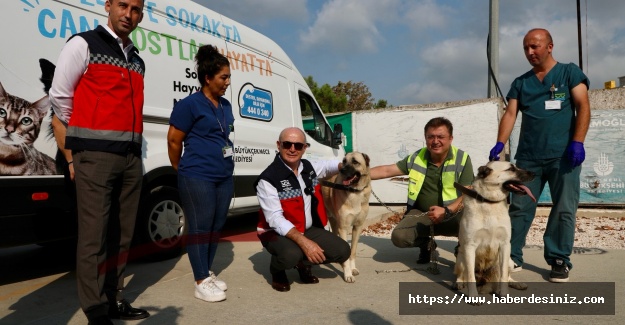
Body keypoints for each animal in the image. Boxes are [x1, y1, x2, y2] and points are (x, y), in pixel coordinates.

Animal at [322, 151, 370, 280]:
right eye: (344, 161)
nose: (342, 170)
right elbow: (347, 254)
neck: (355, 192)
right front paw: (348, 273)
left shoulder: (357, 227)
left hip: (333, 220)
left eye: (355, 162)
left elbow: (352, 251)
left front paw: (352, 269)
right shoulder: (343, 228)